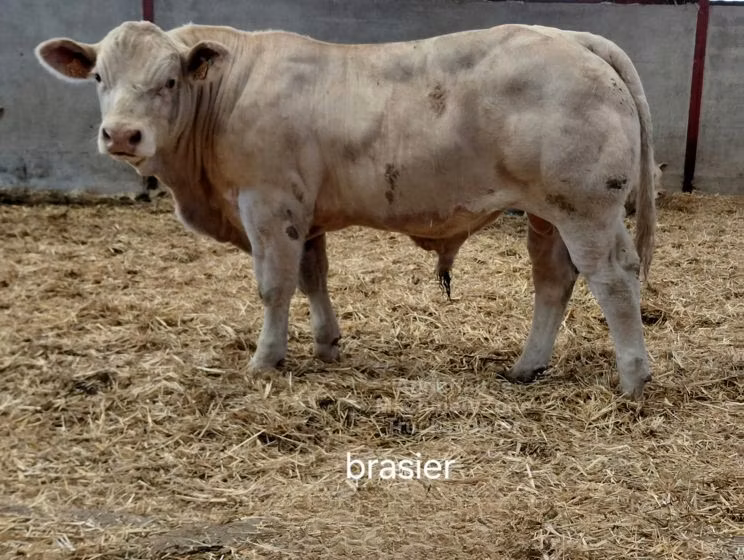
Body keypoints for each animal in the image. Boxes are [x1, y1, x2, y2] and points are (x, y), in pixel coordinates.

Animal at [35, 21, 657, 398]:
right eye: (99, 77)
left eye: (168, 80)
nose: (122, 135)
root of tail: (572, 37)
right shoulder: (304, 216)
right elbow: (313, 278)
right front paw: (326, 344)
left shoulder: (268, 204)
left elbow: (274, 286)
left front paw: (266, 359)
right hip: (547, 213)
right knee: (553, 280)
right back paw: (528, 366)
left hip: (587, 207)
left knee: (613, 278)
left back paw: (632, 377)